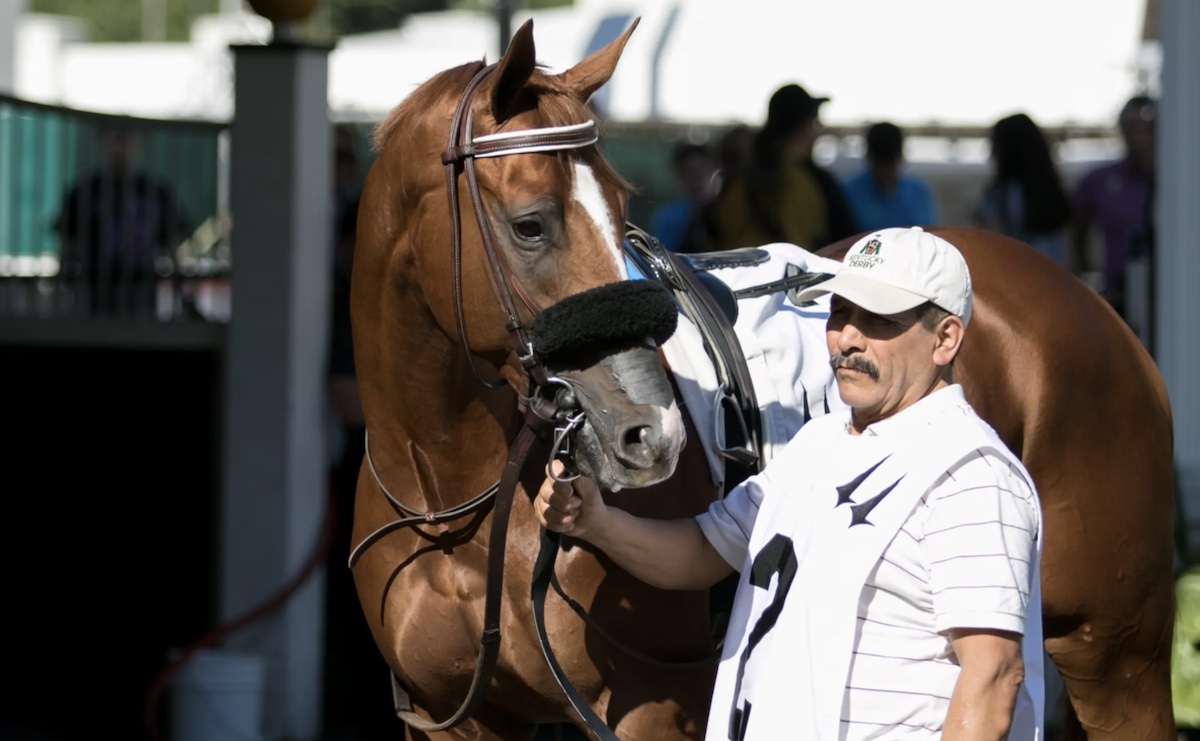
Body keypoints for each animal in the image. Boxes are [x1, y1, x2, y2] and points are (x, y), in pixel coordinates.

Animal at [345, 14, 1171, 733]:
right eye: (529, 223)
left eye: (619, 205)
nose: (653, 432)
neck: (453, 499)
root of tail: (1090, 304)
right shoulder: (455, 720)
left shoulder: (651, 712)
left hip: (1114, 656)